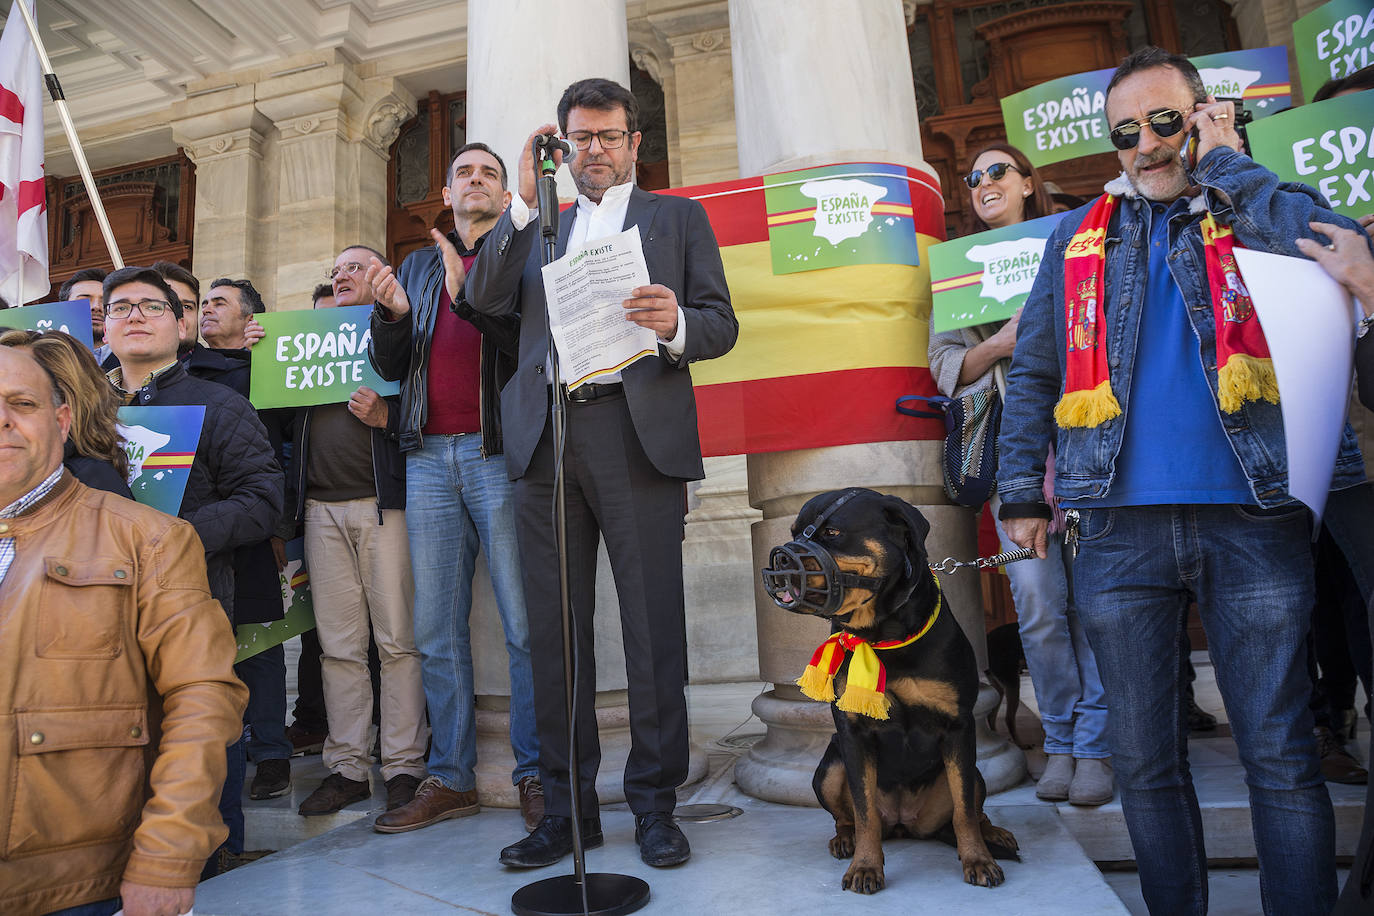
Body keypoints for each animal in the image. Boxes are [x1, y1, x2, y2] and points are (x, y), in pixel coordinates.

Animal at [763, 486, 1022, 895]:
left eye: (832, 532)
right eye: (793, 531)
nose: (779, 563)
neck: (881, 634)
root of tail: (904, 822)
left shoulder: (959, 727)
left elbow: (964, 809)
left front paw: (978, 860)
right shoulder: (853, 734)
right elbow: (865, 810)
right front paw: (865, 866)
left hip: (974, 771)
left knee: (972, 807)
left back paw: (993, 833)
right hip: (829, 767)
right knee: (847, 817)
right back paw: (845, 839)